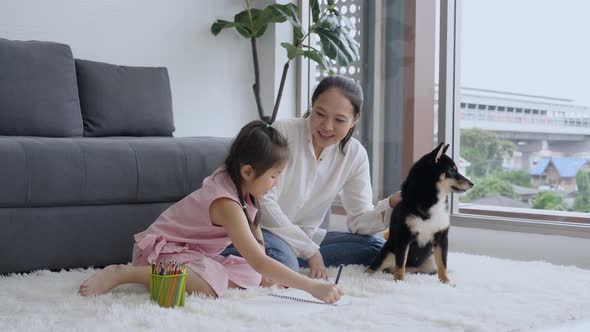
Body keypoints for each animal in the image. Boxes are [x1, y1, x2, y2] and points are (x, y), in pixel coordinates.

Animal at [368, 141, 474, 284]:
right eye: (452, 170)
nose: (472, 183)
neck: (432, 202)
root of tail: (413, 270)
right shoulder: (404, 237)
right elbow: (400, 264)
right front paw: (399, 281)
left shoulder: (441, 238)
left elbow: (443, 265)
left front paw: (446, 282)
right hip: (388, 253)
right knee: (375, 268)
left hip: (430, 261)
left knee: (434, 268)